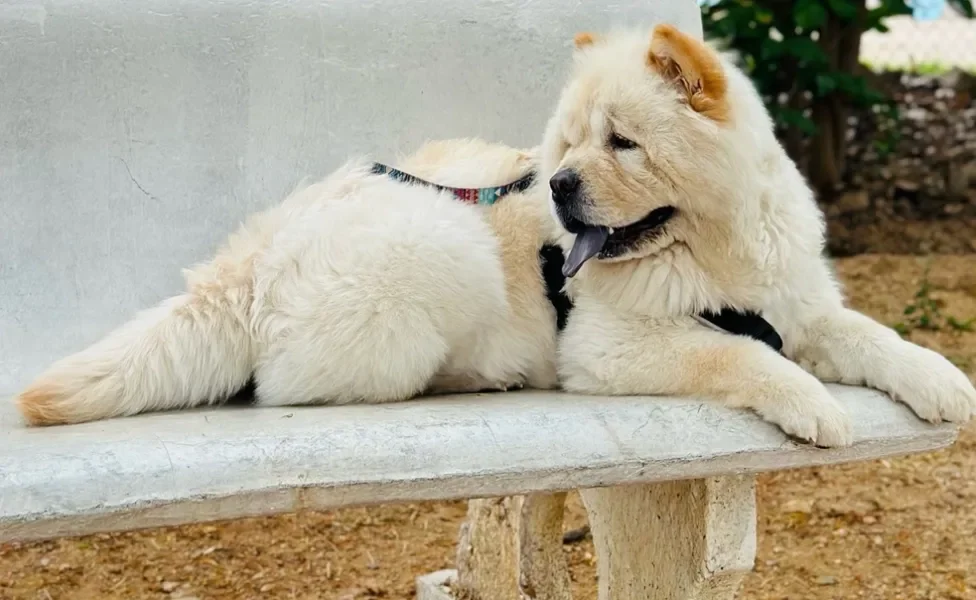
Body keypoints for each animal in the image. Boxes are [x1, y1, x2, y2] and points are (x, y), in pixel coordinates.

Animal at [15, 24, 976, 446]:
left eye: (621, 143)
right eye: (567, 145)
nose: (555, 185)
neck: (712, 249)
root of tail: (253, 253)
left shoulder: (801, 307)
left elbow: (879, 338)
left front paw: (946, 385)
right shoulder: (612, 347)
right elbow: (736, 354)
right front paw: (814, 406)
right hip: (445, 252)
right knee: (292, 387)